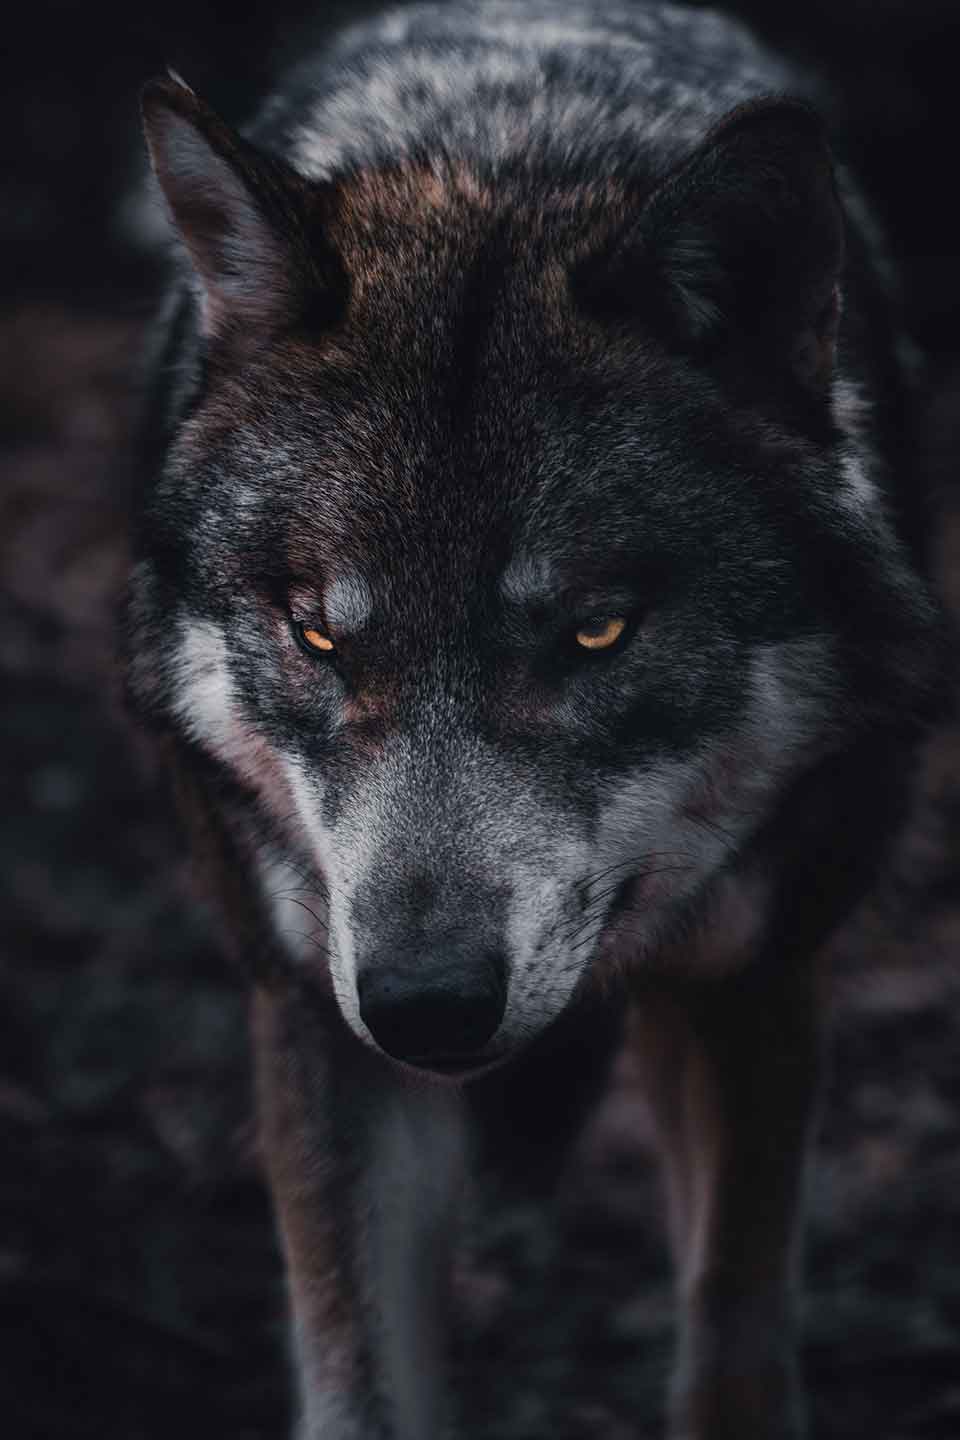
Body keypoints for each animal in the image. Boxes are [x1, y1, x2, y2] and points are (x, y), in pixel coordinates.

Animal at [126, 2, 947, 1436]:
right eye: (319, 634)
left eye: (596, 631)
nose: (425, 1005)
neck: (505, 153)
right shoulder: (315, 1017)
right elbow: (359, 1382)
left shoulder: (757, 980)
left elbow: (734, 1341)